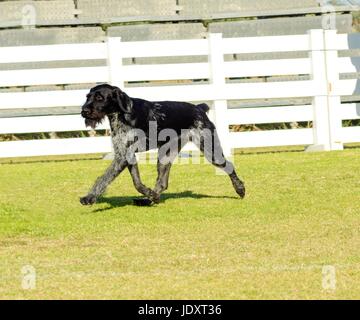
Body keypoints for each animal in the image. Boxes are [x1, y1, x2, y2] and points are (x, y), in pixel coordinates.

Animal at [80, 84, 246, 206]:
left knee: (229, 166)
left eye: (99, 97)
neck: (122, 114)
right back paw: (150, 199)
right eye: (88, 97)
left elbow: (103, 178)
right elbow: (137, 183)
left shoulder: (123, 157)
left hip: (210, 151)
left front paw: (89, 197)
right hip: (165, 156)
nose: (84, 111)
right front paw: (148, 193)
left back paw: (240, 189)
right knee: (162, 183)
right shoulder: (126, 155)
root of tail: (199, 108)